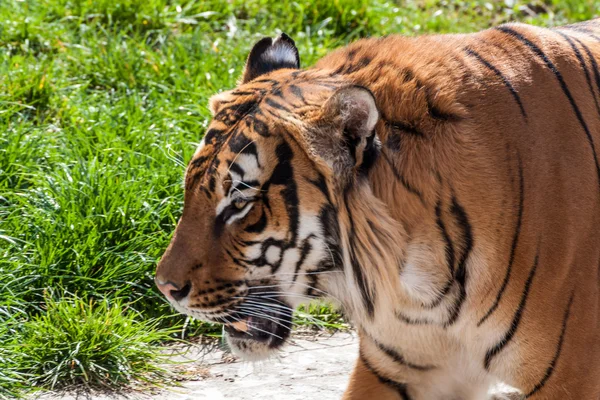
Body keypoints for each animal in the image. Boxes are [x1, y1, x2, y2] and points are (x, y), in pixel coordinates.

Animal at [155, 18, 600, 400]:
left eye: (239, 202)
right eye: (190, 190)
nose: (165, 288)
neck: (420, 285)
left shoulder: (570, 378)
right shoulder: (403, 366)